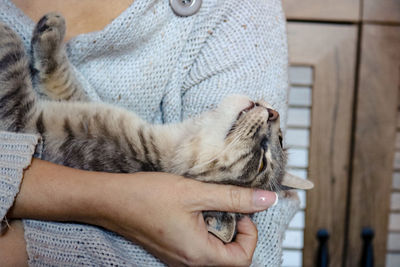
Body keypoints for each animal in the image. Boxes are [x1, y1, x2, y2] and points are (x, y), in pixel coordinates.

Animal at [0, 13, 312, 245]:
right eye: (280, 139)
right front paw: (50, 31)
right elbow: (60, 77)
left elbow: (11, 60)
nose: (273, 113)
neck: (172, 141)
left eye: (262, 162)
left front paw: (8, 28)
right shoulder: (75, 102)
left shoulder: (28, 121)